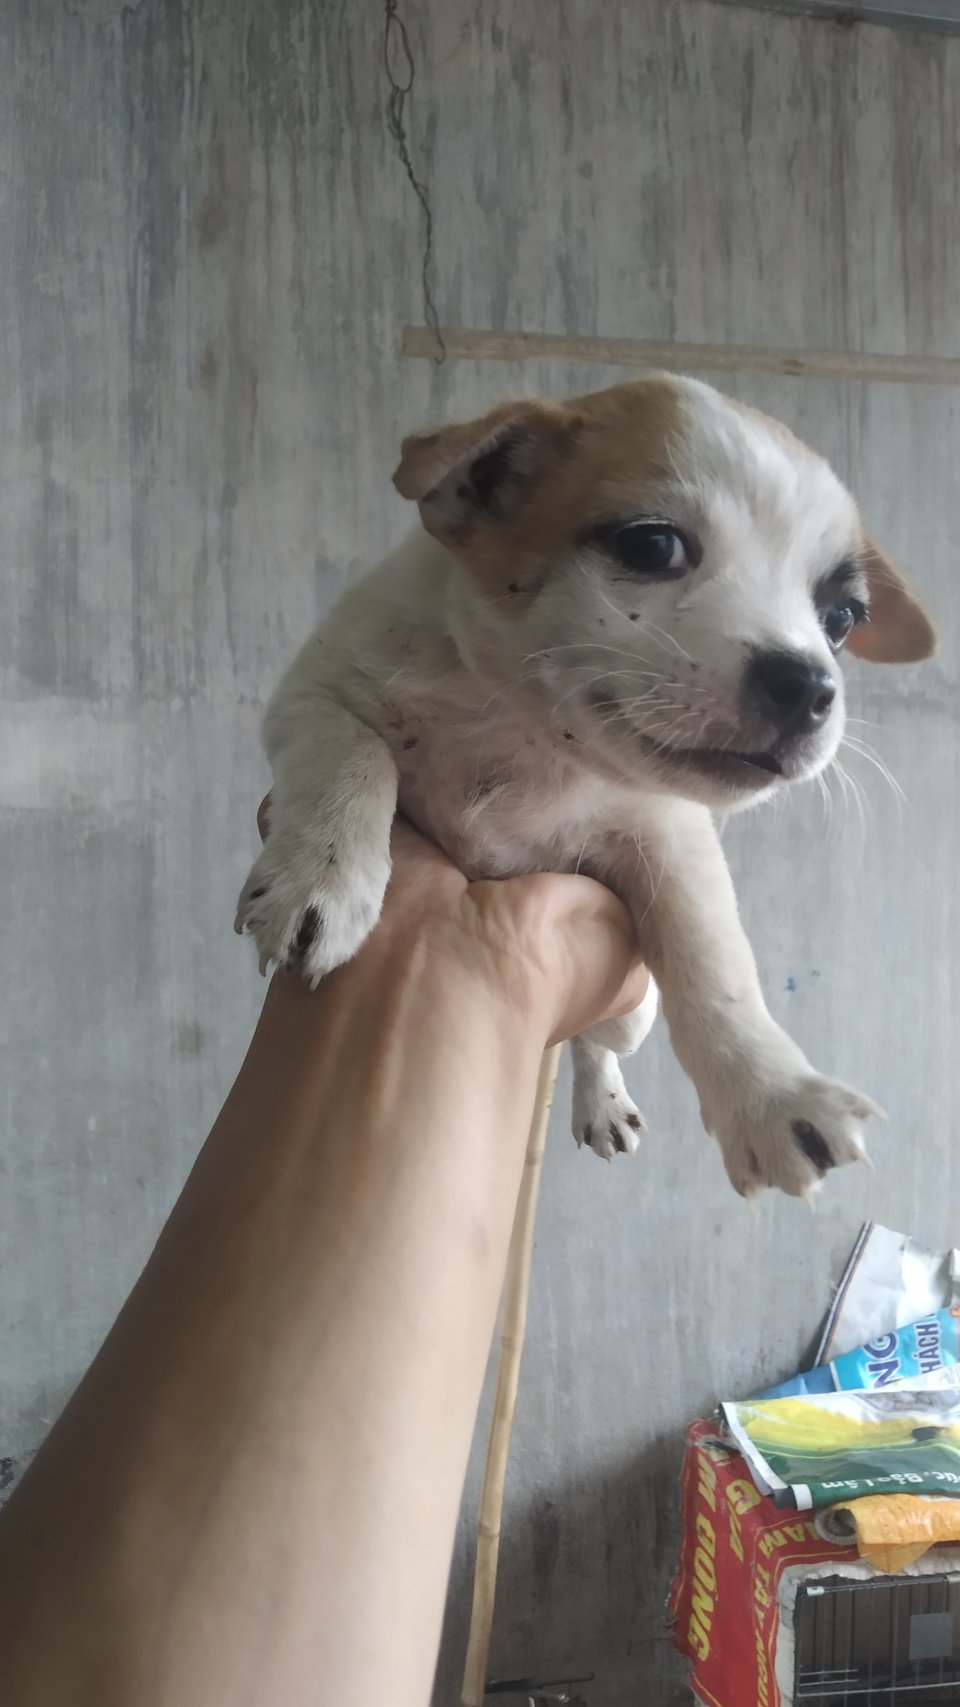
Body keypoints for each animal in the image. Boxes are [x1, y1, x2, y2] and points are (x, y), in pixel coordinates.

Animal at [235, 375, 935, 1200]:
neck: (523, 727)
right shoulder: (314, 694)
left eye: (843, 618)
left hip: (629, 1011)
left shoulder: (667, 835)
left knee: (594, 1040)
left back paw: (601, 1097)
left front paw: (769, 1093)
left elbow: (712, 959)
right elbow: (353, 754)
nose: (808, 686)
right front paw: (326, 877)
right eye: (653, 545)